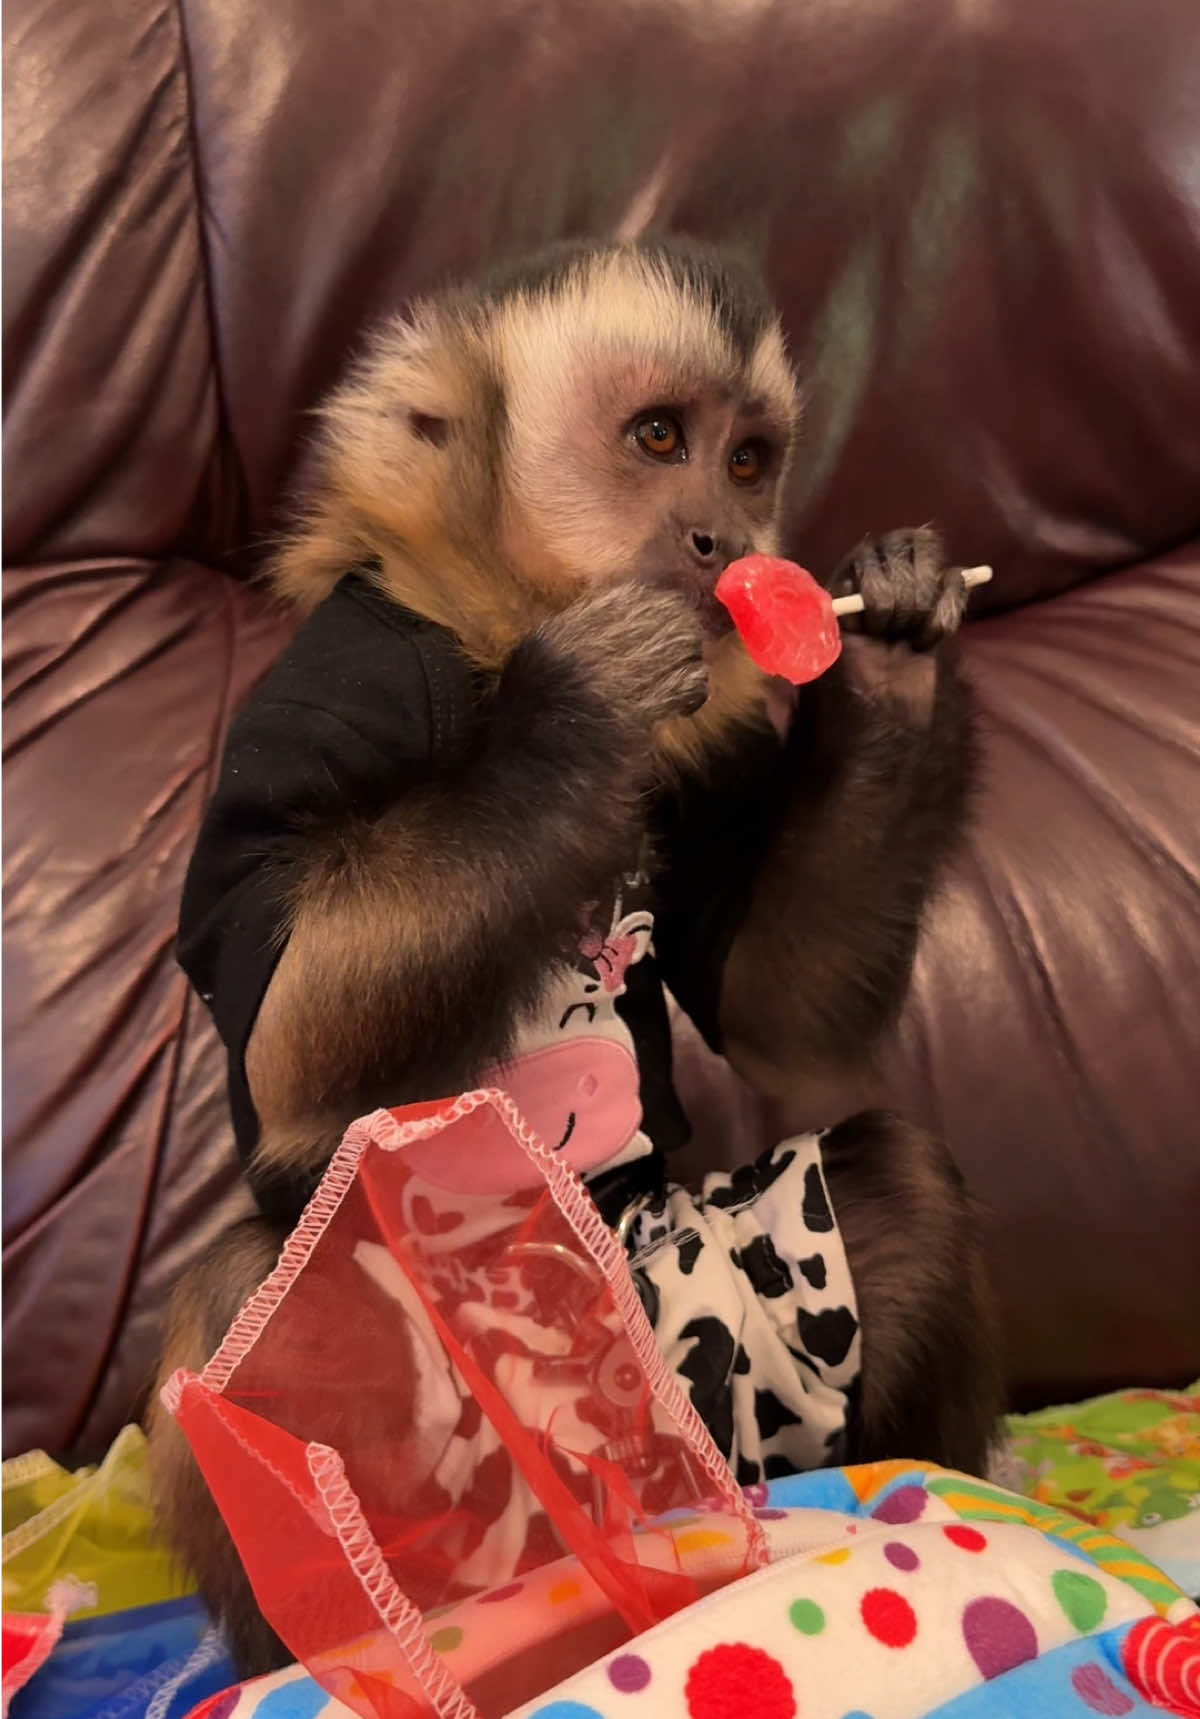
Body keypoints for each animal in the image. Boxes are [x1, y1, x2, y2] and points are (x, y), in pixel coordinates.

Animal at [148, 236, 1003, 1675]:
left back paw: (899, 1498)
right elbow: (287, 1057)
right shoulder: (328, 694)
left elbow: (779, 1023)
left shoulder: (717, 755)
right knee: (254, 1311)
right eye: (659, 438)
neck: (492, 622)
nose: (726, 541)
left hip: (725, 1371)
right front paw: (584, 704)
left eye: (749, 459)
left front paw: (890, 642)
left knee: (896, 1195)